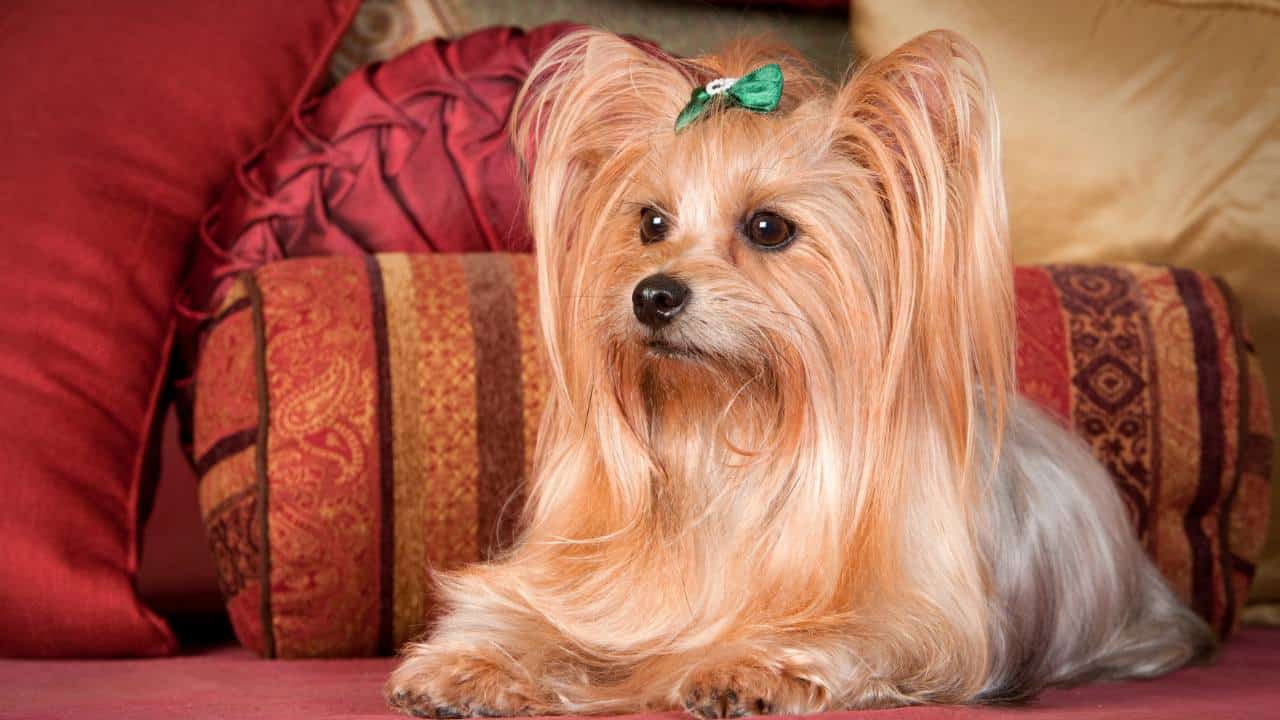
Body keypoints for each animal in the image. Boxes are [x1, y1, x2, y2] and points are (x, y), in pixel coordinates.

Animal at [378, 26, 1208, 712]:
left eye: (769, 227)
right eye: (651, 222)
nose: (653, 294)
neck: (725, 425)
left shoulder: (919, 625)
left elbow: (844, 635)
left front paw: (748, 665)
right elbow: (529, 618)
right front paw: (471, 666)